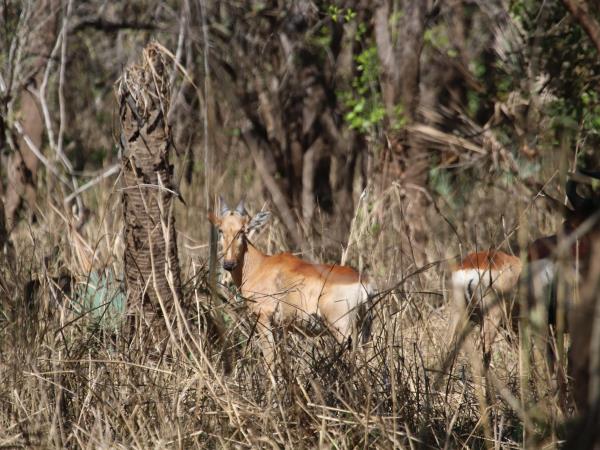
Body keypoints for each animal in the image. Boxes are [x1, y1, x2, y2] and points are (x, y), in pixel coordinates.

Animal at [209, 199, 372, 368]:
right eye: (220, 229)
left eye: (243, 230)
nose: (229, 264)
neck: (260, 265)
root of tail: (361, 282)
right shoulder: (280, 327)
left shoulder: (263, 318)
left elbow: (269, 359)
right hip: (365, 328)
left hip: (341, 328)